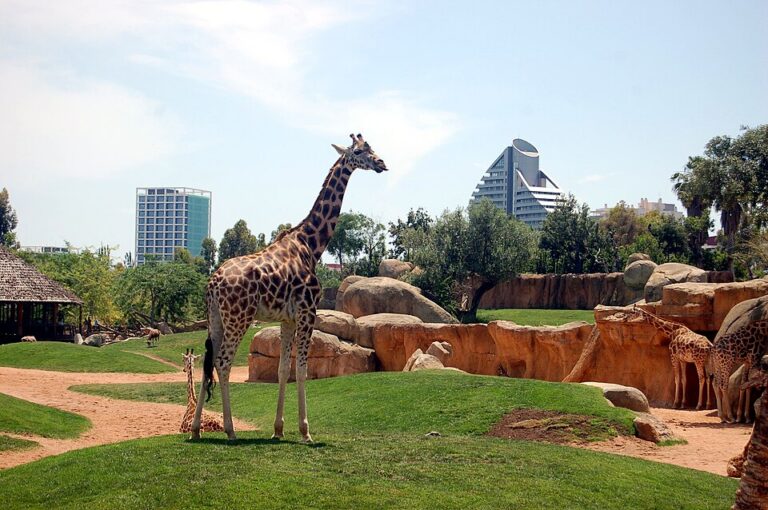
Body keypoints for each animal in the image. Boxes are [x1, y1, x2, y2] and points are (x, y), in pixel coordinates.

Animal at [191, 134, 388, 442]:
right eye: (358, 152)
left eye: (371, 147)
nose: (381, 163)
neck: (311, 244)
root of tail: (213, 283)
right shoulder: (308, 312)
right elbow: (302, 369)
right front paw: (306, 431)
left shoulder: (287, 318)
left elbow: (284, 369)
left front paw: (278, 429)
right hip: (239, 318)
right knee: (223, 363)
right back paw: (230, 430)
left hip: (215, 320)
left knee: (207, 363)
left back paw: (196, 428)